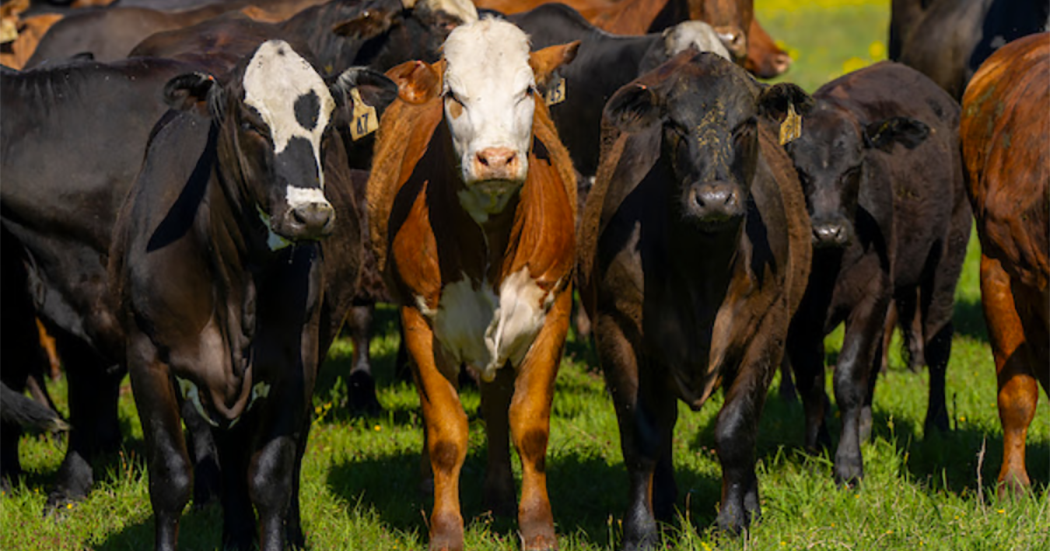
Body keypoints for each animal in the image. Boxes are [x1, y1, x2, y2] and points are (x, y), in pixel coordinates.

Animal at [108, 39, 394, 550]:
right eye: (251, 123)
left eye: (326, 128)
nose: (310, 215)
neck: (234, 283)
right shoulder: (145, 355)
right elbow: (170, 478)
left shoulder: (294, 358)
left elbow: (271, 475)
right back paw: (236, 535)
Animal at [367, 18, 579, 551]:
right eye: (452, 95)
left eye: (527, 90)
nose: (496, 159)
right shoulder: (418, 321)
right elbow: (446, 431)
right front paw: (445, 529)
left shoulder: (554, 310)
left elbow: (528, 424)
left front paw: (537, 526)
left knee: (497, 399)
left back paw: (500, 493)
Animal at [577, 50, 812, 545]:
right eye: (673, 126)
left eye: (745, 124)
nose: (715, 199)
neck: (702, 277)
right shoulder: (616, 330)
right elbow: (642, 436)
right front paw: (641, 531)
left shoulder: (767, 329)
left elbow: (737, 429)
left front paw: (733, 523)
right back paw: (665, 506)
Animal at [781, 61, 971, 483]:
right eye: (799, 170)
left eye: (854, 167)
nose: (827, 230)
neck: (829, 268)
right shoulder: (800, 316)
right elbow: (812, 383)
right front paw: (815, 451)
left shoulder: (870, 295)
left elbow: (848, 377)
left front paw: (849, 465)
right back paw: (865, 426)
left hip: (947, 258)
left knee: (937, 342)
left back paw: (937, 423)